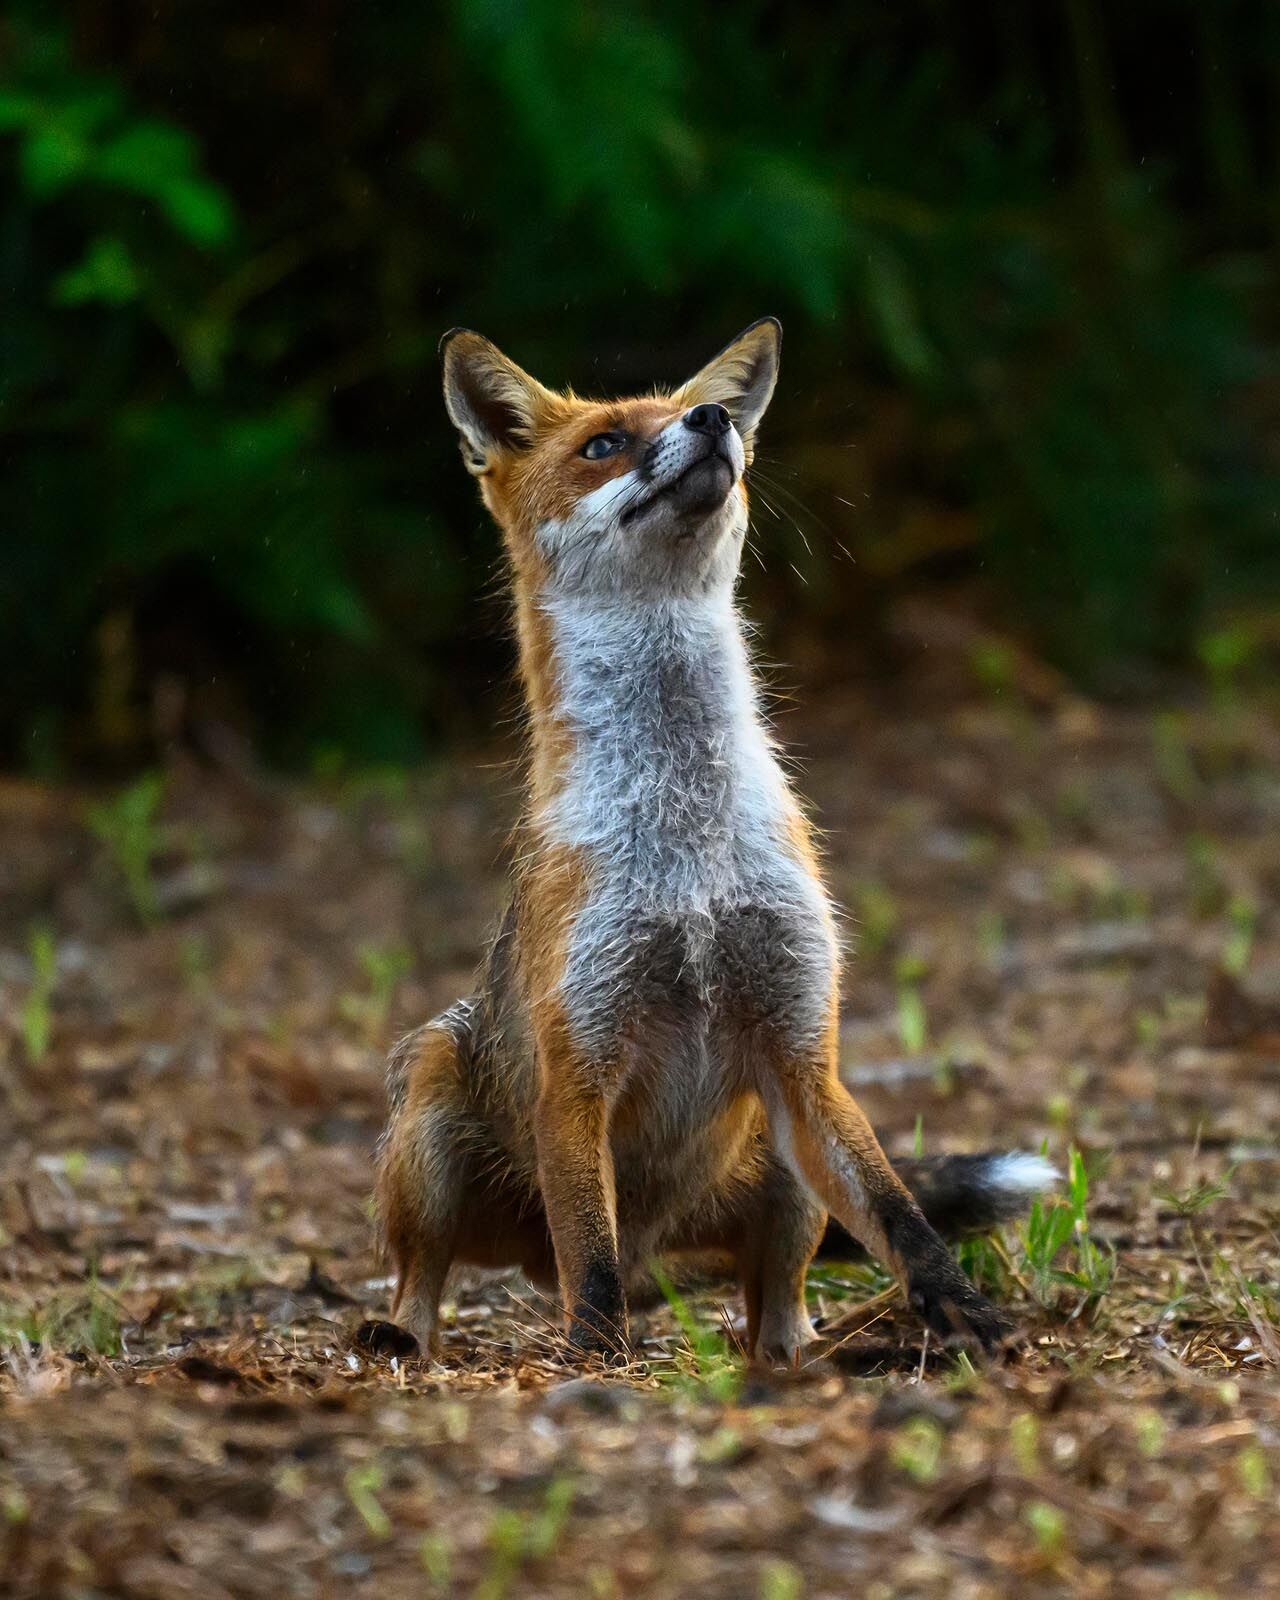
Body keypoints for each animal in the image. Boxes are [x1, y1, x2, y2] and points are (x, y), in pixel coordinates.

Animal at [375, 318, 1056, 1364]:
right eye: (605, 443)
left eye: (709, 413)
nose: (712, 421)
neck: (690, 855)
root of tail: (663, 1241)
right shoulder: (578, 1066)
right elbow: (591, 1250)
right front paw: (595, 1361)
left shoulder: (803, 1053)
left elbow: (903, 1216)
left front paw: (967, 1316)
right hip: (433, 1106)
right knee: (437, 1274)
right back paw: (402, 1337)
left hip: (779, 1178)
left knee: (778, 1310)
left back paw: (817, 1353)